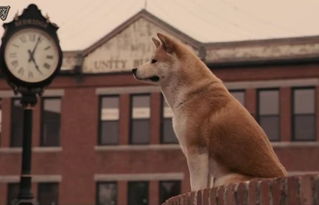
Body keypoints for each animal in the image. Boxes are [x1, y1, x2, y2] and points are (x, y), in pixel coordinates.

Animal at [131, 32, 288, 191]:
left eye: (154, 61)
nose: (133, 70)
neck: (190, 94)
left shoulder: (197, 151)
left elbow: (196, 187)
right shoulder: (202, 160)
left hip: (224, 179)